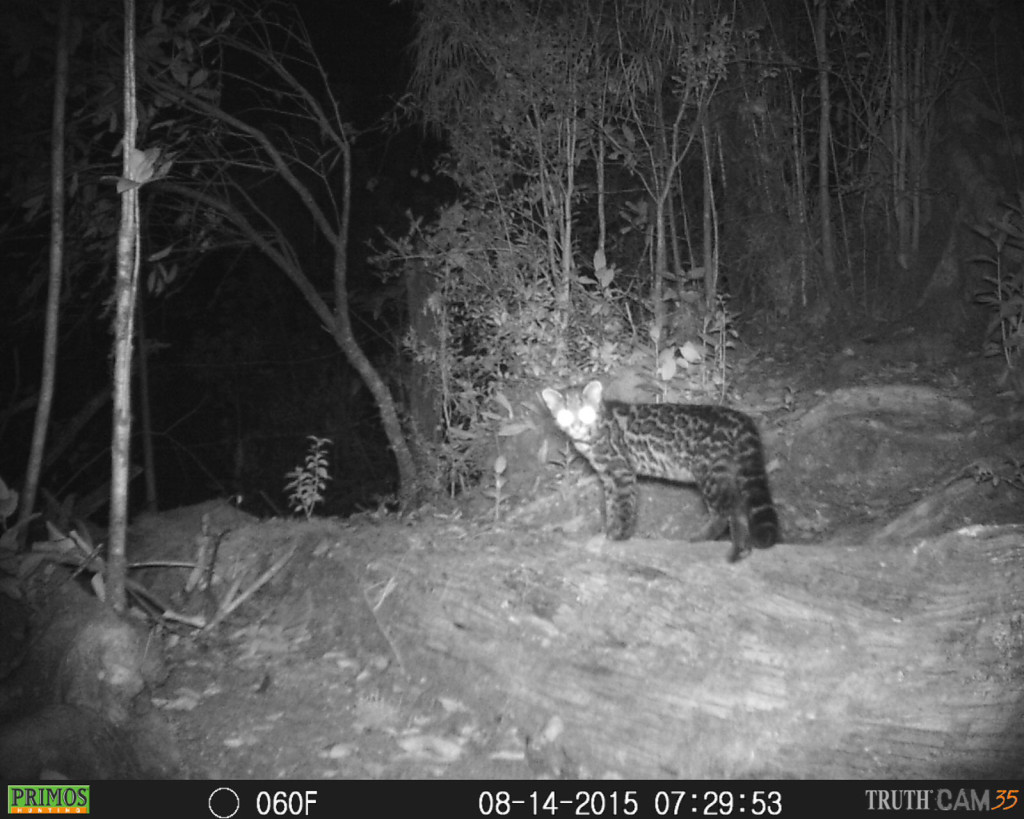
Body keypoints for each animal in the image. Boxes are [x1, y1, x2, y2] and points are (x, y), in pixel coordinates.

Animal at [544, 378, 774, 561]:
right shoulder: (608, 476)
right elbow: (611, 505)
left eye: (585, 412)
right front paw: (609, 531)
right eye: (565, 415)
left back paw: (726, 545)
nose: (575, 427)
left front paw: (618, 536)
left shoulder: (620, 472)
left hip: (710, 471)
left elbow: (622, 506)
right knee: (737, 506)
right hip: (726, 470)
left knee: (728, 509)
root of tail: (737, 416)